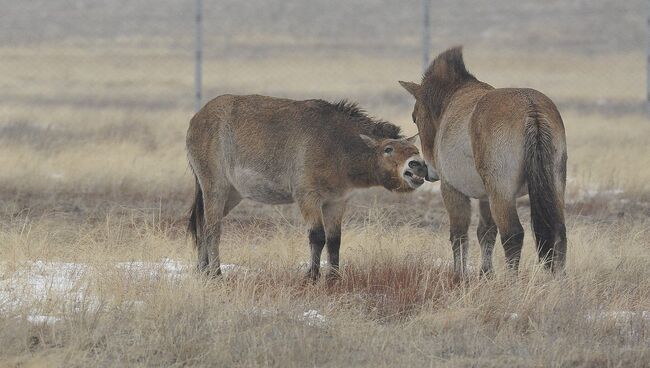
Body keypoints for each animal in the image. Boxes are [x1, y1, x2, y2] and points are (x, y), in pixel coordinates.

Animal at [185, 95, 430, 278]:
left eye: (414, 149)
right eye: (388, 149)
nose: (418, 165)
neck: (337, 145)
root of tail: (196, 118)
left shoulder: (336, 202)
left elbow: (334, 240)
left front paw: (334, 277)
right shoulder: (308, 197)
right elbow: (317, 236)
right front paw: (311, 276)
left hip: (232, 194)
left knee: (201, 224)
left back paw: (202, 271)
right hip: (215, 188)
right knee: (212, 229)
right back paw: (216, 273)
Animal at [398, 47, 564, 274]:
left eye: (415, 117)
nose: (425, 169)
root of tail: (531, 109)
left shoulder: (452, 190)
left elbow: (459, 234)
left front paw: (459, 274)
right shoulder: (486, 197)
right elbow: (486, 233)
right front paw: (486, 273)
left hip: (502, 193)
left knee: (513, 235)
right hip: (554, 186)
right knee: (558, 233)